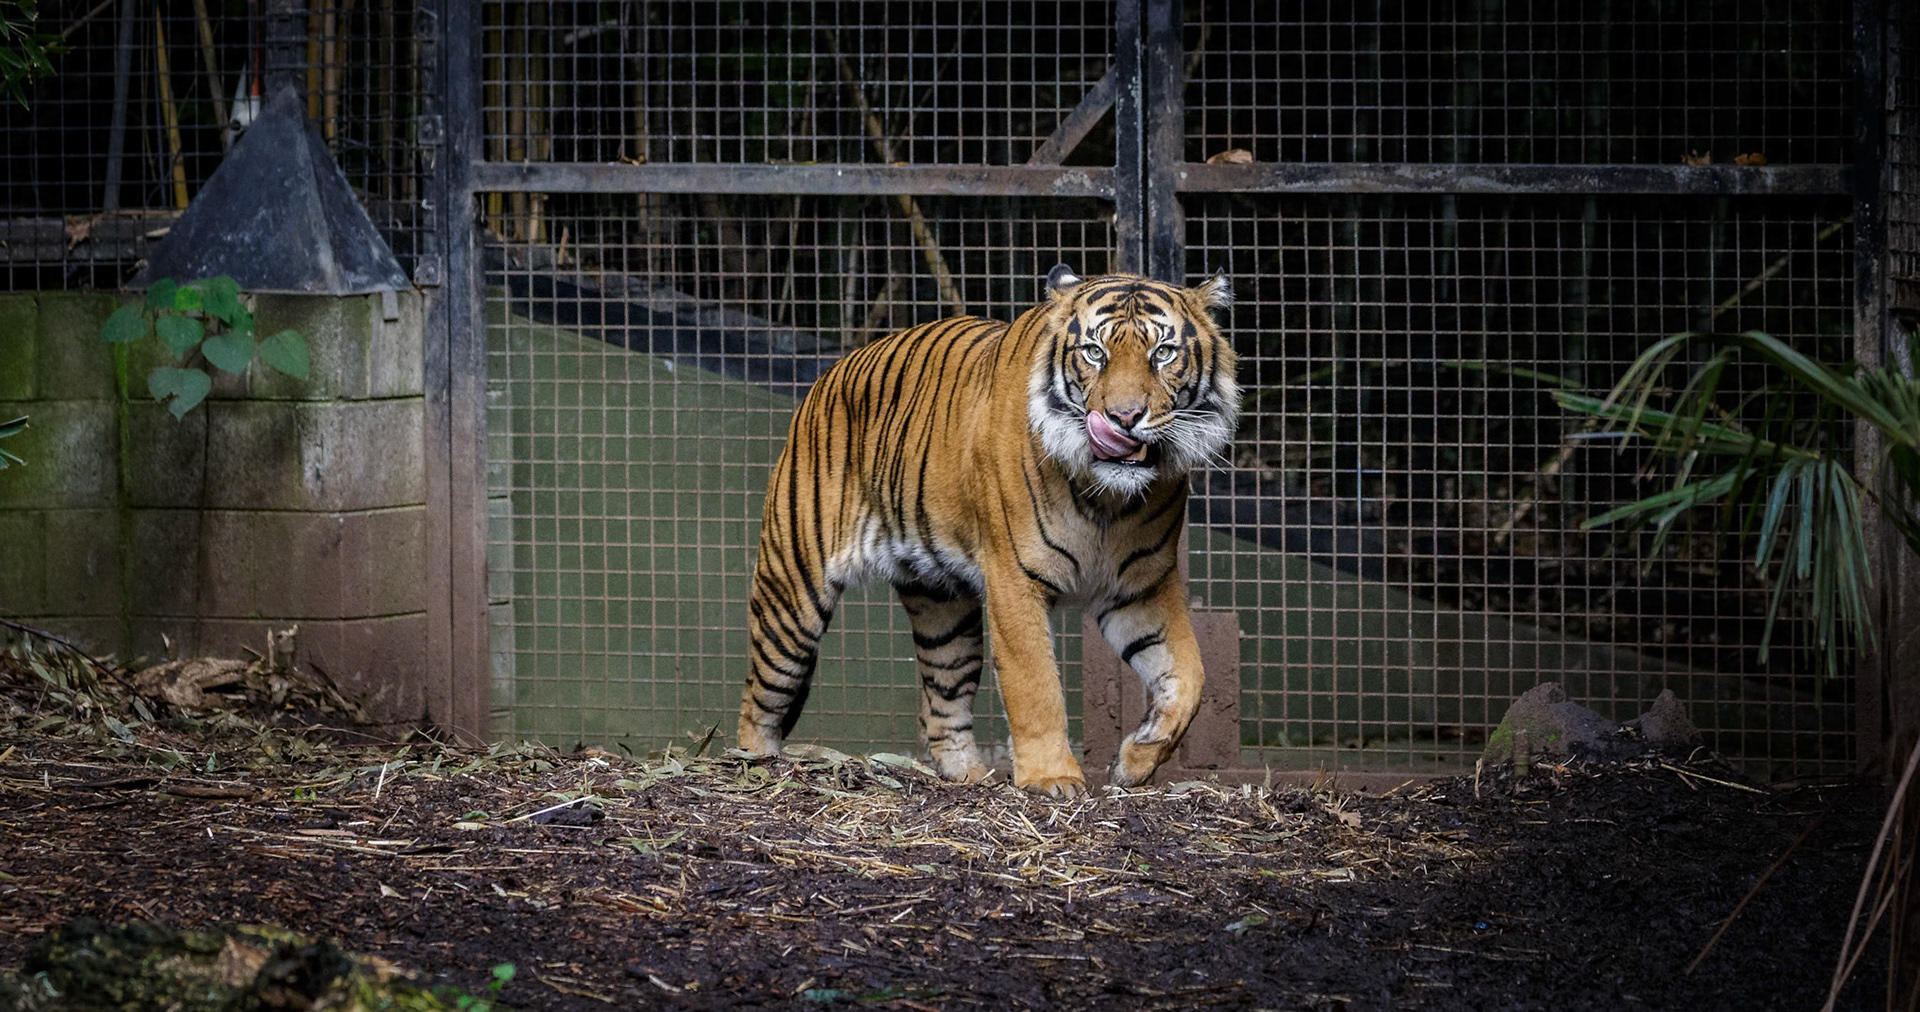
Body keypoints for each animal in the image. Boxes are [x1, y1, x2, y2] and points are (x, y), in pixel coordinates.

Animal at [737, 264, 1239, 797]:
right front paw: (1052, 777)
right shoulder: (1015, 579)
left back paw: (969, 780)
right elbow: (1034, 683)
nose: (1124, 418)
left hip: (943, 610)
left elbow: (1190, 678)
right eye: (1094, 353)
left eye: (1162, 353)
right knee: (760, 696)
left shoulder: (1141, 587)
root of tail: (830, 372)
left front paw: (1135, 761)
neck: (1107, 497)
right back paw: (755, 764)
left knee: (942, 705)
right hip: (791, 591)